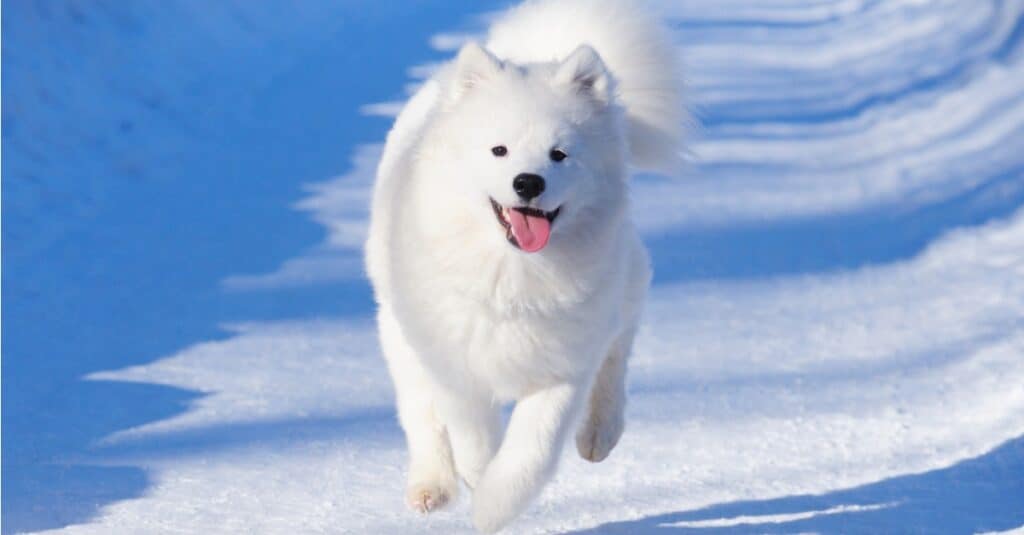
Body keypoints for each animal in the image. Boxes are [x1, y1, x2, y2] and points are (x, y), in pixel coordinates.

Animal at [364, 0, 684, 528]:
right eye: (499, 149)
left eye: (560, 154)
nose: (528, 182)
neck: (512, 276)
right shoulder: (456, 365)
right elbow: (472, 440)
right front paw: (476, 483)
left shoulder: (561, 369)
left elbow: (530, 454)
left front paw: (492, 508)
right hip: (399, 333)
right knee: (420, 415)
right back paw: (431, 488)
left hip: (623, 289)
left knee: (616, 353)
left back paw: (598, 434)